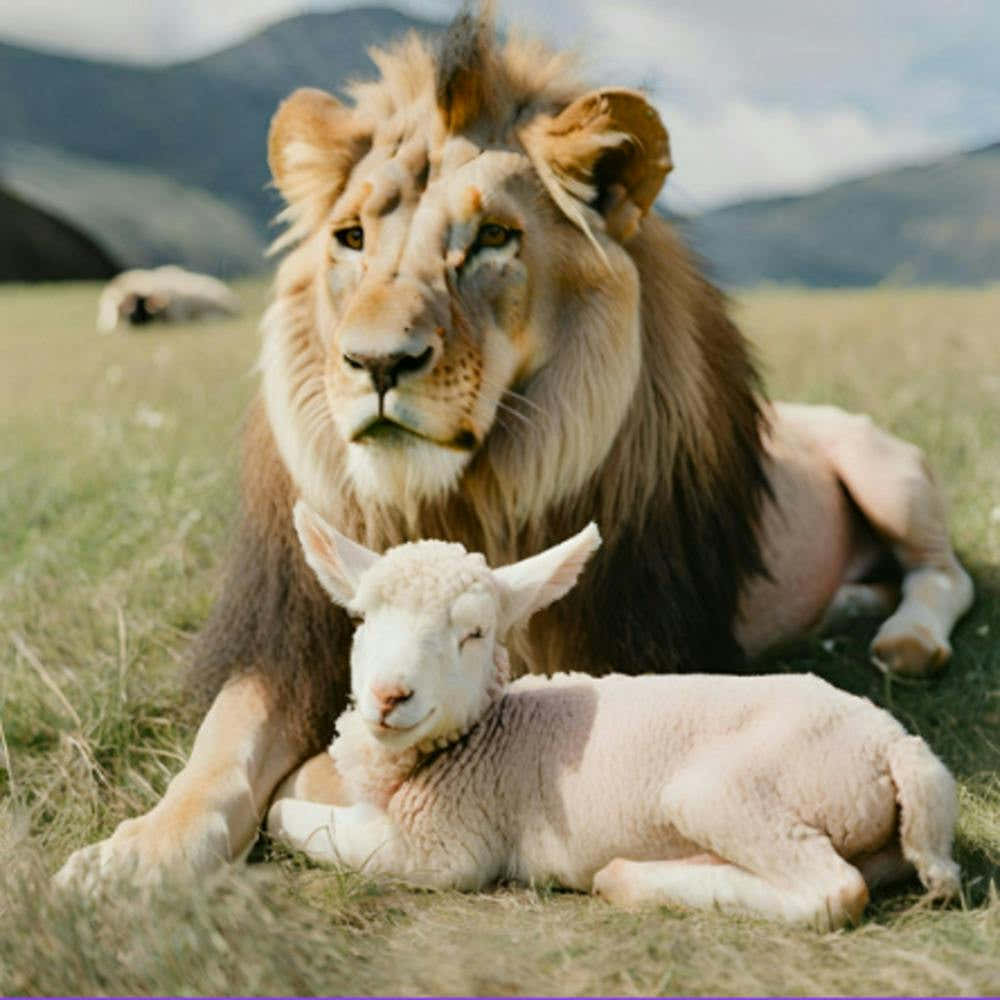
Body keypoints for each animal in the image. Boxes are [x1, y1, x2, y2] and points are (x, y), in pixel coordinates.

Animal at [266, 501, 962, 930]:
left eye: (474, 633)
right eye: (361, 619)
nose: (389, 696)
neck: (486, 732)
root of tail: (896, 745)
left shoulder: (442, 848)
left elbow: (287, 816)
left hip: (727, 791)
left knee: (835, 891)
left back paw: (629, 879)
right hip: (876, 838)